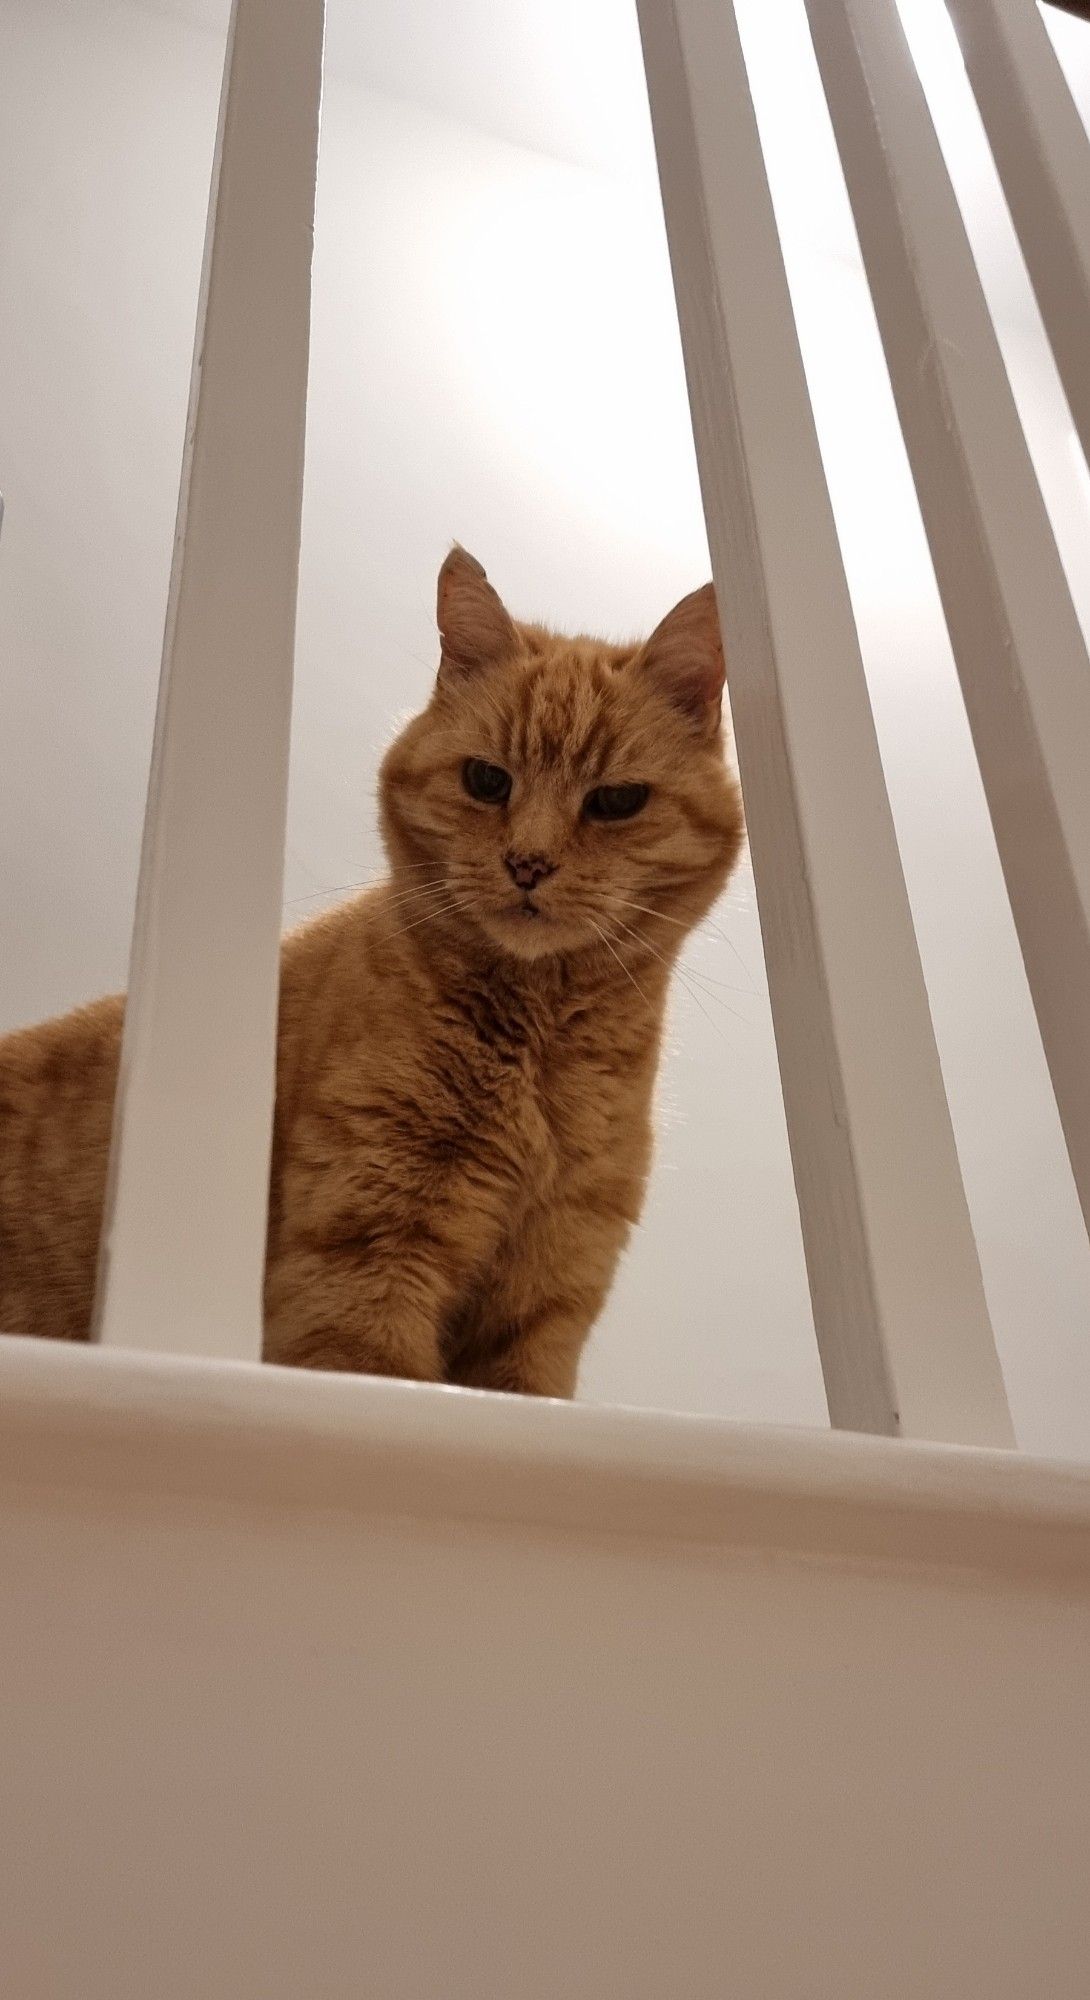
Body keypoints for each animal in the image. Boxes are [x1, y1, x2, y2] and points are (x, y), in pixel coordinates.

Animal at [0, 544, 740, 1392]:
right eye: (487, 781)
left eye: (616, 801)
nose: (528, 862)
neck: (541, 1051)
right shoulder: (361, 1271)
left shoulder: (543, 1308)